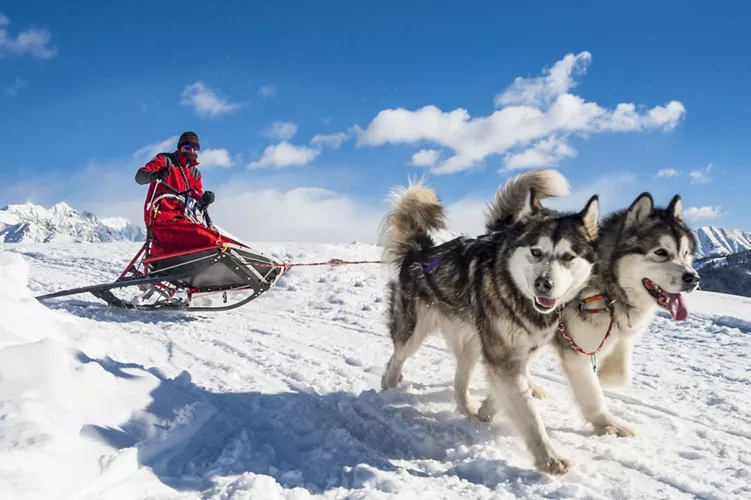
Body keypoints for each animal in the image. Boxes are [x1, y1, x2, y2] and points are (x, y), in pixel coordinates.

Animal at [382, 170, 600, 474]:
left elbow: (510, 394)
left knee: (459, 383)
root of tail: (419, 251)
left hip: (472, 344)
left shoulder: (516, 355)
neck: (516, 293)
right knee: (396, 358)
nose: (544, 284)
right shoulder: (504, 357)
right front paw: (549, 459)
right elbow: (530, 415)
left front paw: (487, 410)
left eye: (568, 257)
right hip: (413, 332)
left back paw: (468, 410)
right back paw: (388, 389)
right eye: (536, 252)